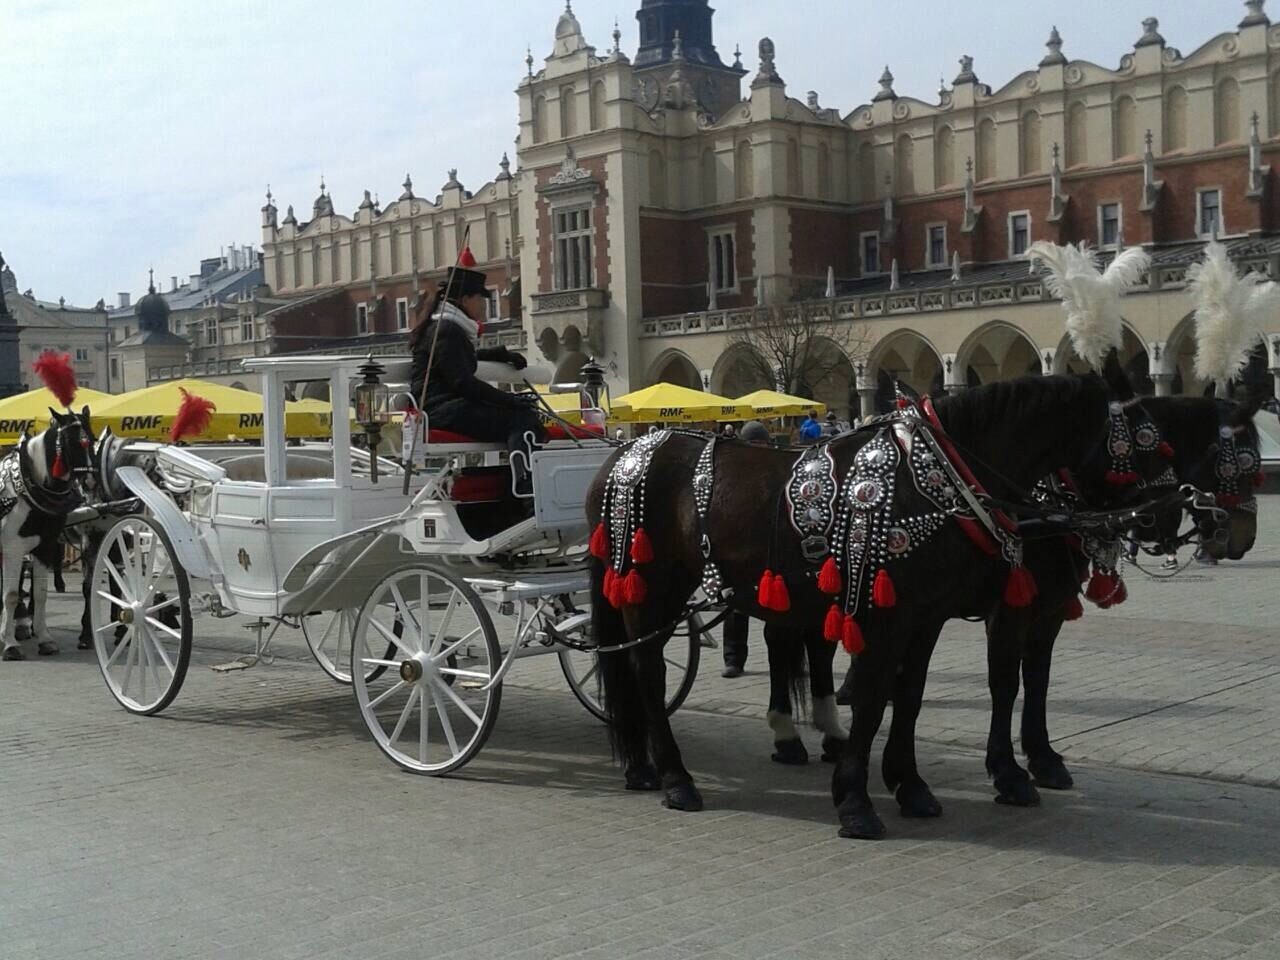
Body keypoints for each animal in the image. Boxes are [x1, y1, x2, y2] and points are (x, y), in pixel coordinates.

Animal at [0, 409, 94, 665]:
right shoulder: (13, 549)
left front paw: (45, 640)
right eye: (70, 441)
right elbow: (11, 594)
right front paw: (10, 645)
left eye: (92, 439)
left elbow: (40, 594)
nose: (90, 482)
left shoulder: (45, 547)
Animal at [586, 368, 1172, 839]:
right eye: (1140, 441)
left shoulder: (926, 616)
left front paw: (909, 786)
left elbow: (908, 698)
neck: (934, 478)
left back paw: (641, 767)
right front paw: (855, 801)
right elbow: (872, 700)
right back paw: (675, 778)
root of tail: (624, 455)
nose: (1161, 517)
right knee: (647, 671)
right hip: (650, 584)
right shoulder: (884, 612)